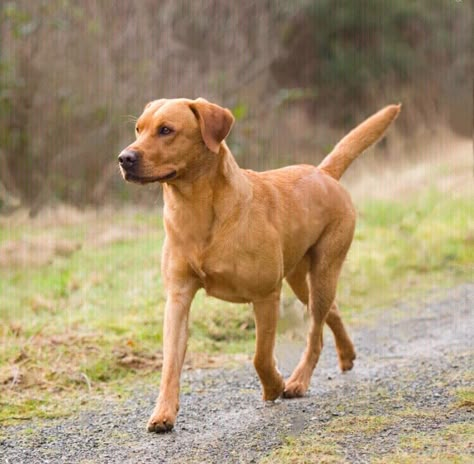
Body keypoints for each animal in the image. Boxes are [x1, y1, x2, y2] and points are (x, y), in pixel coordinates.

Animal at [118, 98, 400, 432]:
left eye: (166, 130)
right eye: (139, 129)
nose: (124, 158)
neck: (197, 210)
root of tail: (324, 173)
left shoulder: (265, 295)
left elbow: (260, 356)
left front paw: (274, 386)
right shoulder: (178, 298)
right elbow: (171, 363)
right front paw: (163, 413)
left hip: (323, 271)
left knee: (315, 333)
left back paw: (298, 381)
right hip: (300, 279)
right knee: (332, 311)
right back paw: (346, 354)